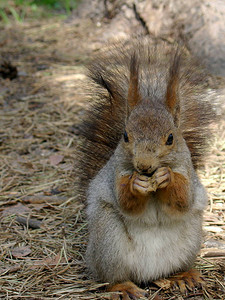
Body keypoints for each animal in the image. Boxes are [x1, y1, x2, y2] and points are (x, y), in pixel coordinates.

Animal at [78, 38, 216, 298]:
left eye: (171, 138)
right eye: (125, 136)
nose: (144, 166)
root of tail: (149, 272)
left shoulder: (188, 171)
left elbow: (184, 199)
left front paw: (166, 177)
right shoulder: (116, 173)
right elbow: (125, 201)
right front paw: (136, 184)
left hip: (191, 238)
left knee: (174, 267)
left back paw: (183, 276)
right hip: (108, 241)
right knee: (111, 277)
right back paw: (123, 288)